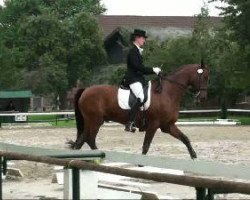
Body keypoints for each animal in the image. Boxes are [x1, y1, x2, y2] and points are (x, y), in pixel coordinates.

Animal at [68, 61, 209, 159]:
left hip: (92, 121)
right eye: (205, 77)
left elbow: (185, 138)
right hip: (95, 121)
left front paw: (194, 156)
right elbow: (146, 146)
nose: (203, 97)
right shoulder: (153, 124)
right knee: (89, 140)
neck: (168, 93)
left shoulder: (167, 125)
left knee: (83, 140)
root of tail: (85, 90)